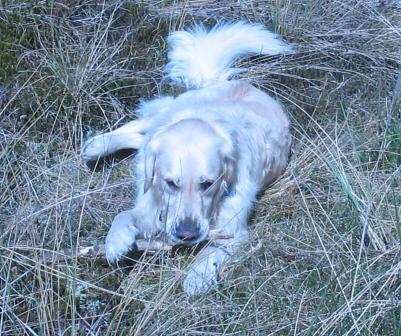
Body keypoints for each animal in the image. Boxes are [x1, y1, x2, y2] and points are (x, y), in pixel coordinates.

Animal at [83, 21, 292, 296]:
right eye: (171, 183)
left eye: (208, 184)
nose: (186, 234)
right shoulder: (150, 202)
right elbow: (124, 215)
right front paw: (115, 242)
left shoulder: (233, 228)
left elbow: (212, 249)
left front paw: (197, 276)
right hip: (169, 111)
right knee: (138, 126)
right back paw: (97, 146)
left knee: (140, 139)